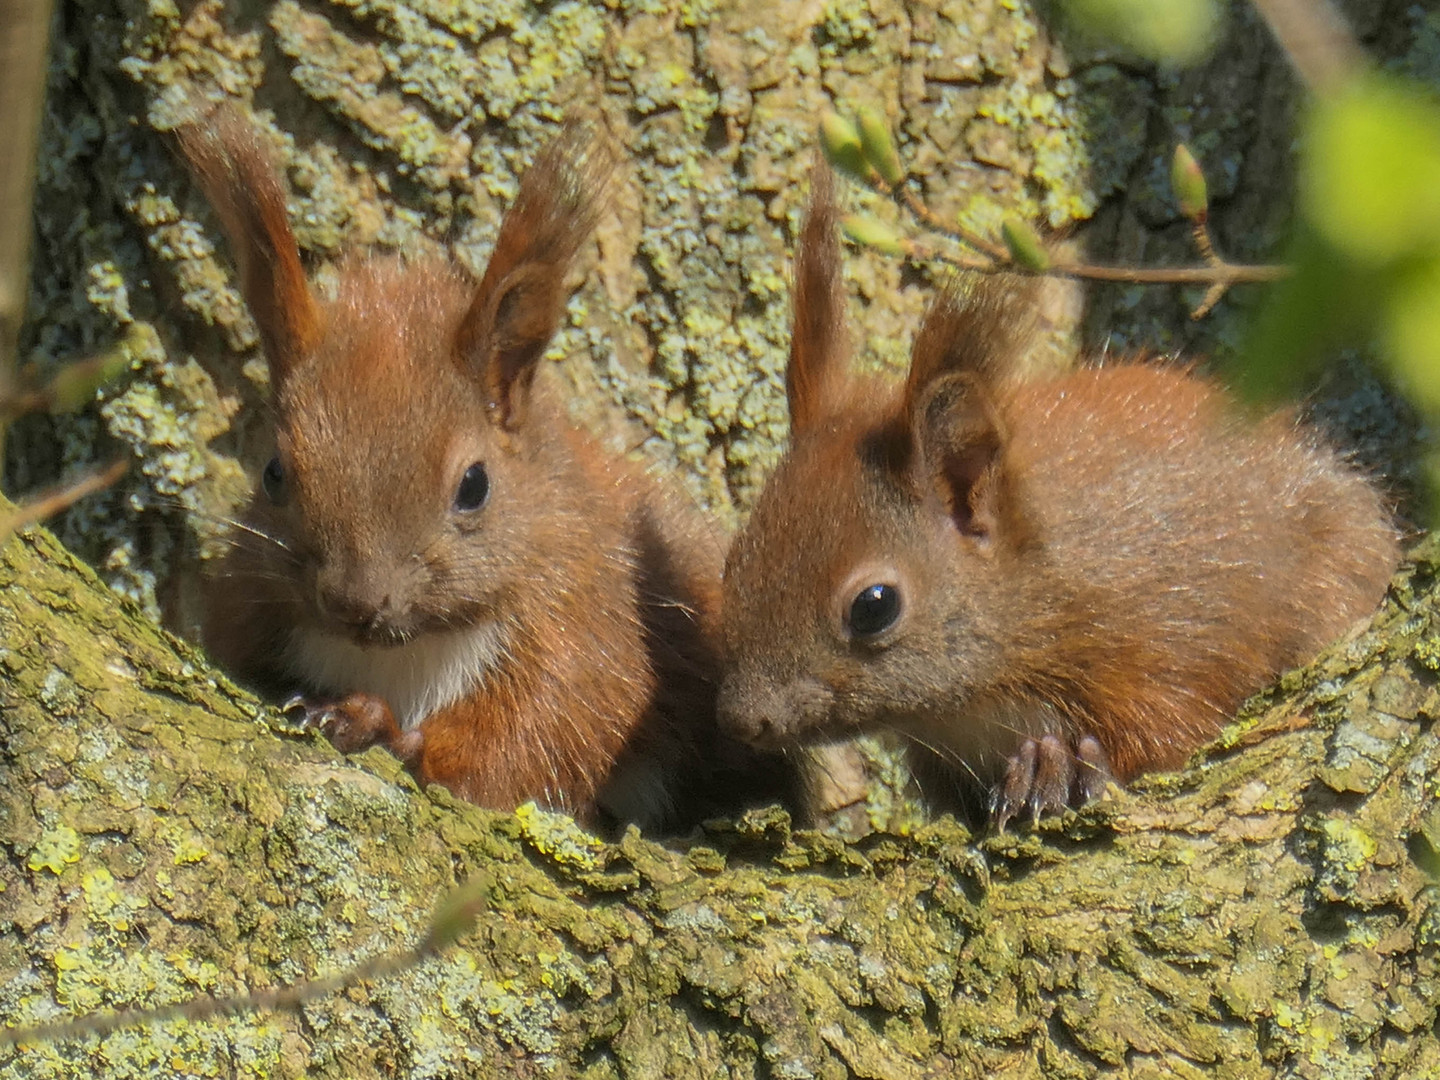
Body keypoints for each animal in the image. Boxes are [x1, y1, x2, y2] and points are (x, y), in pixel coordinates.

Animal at [720, 164, 1405, 835]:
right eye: (735, 558)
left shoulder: (1167, 634)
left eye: (875, 606)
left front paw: (1054, 765)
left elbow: (1166, 732)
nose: (742, 719)